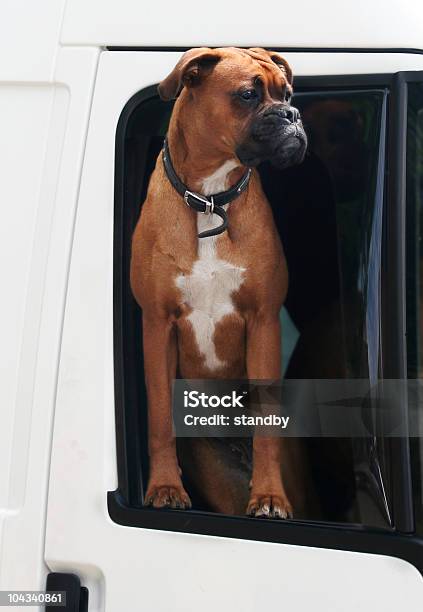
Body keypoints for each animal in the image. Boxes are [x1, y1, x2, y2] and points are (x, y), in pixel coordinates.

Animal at [131, 46, 306, 516]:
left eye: (287, 94)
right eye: (247, 94)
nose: (292, 115)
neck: (210, 199)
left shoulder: (263, 321)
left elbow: (266, 425)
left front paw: (269, 495)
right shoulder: (157, 324)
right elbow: (158, 418)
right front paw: (165, 487)